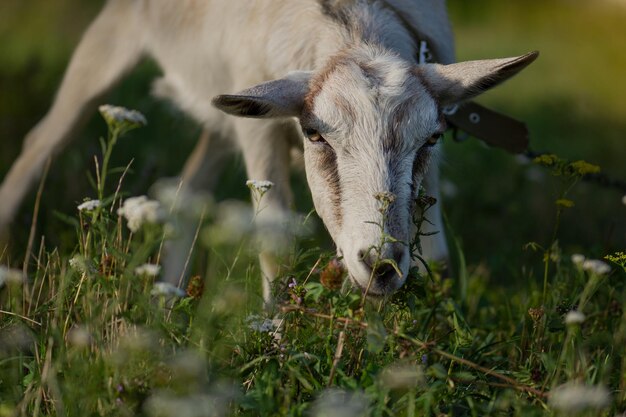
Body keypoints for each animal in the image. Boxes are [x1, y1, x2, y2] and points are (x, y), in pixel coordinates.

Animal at [0, 0, 536, 300]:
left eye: (431, 138)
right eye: (316, 134)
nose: (380, 264)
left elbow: (438, 257)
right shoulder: (260, 135)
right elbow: (275, 244)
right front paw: (275, 351)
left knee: (189, 188)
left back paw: (165, 305)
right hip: (113, 41)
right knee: (40, 144)